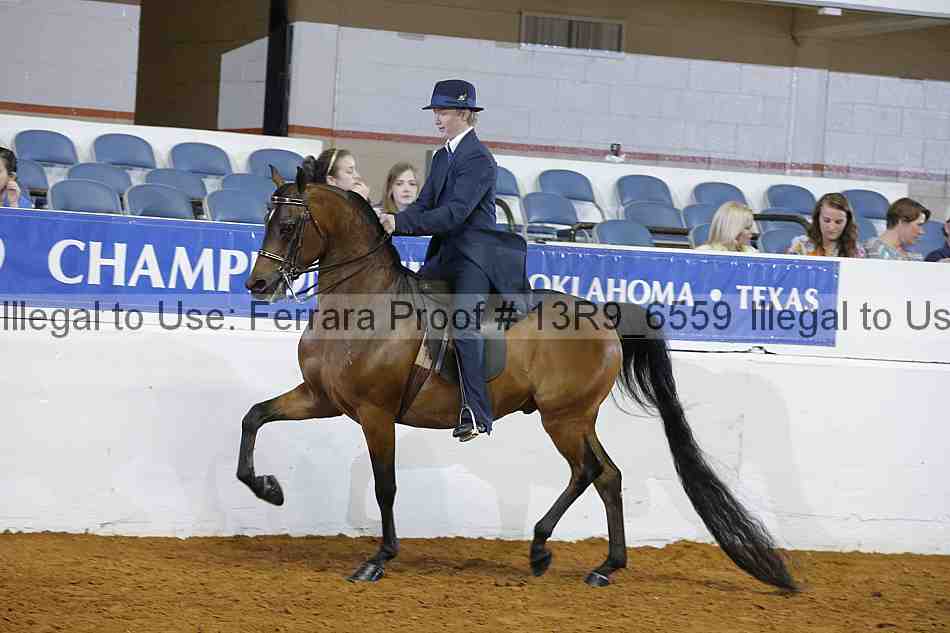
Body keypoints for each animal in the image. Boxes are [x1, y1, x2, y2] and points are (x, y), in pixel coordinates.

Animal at [237, 167, 797, 591]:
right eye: (266, 219)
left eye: (289, 224)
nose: (258, 284)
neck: (364, 307)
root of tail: (605, 315)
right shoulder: (321, 397)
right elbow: (254, 417)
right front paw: (268, 489)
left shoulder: (376, 415)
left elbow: (385, 485)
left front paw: (379, 558)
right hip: (577, 418)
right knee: (607, 475)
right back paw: (602, 565)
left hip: (563, 418)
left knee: (586, 472)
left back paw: (543, 549)